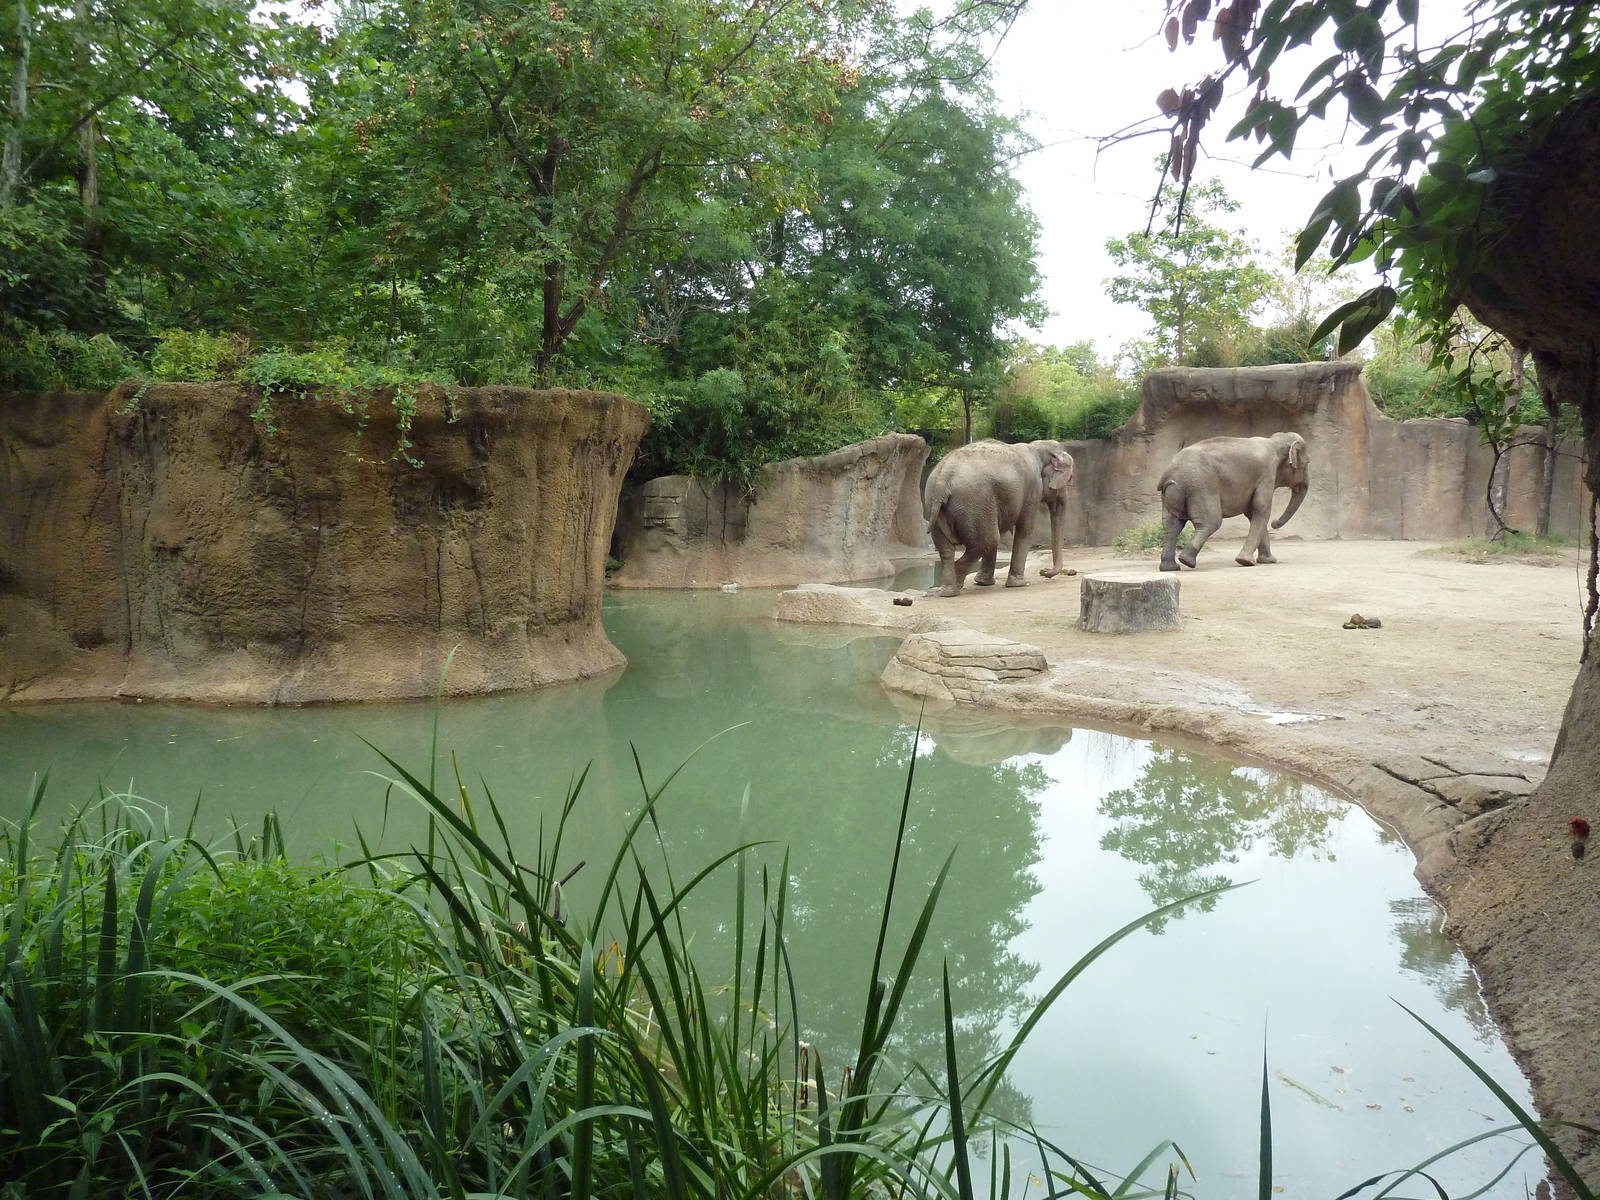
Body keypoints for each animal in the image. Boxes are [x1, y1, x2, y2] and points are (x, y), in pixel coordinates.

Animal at [923, 439, 1075, 597]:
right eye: (1069, 478)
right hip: (974, 502)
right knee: (989, 540)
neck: (1037, 447)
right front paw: (1019, 584)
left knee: (947, 549)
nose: (1044, 571)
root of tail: (943, 478)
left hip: (935, 504)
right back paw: (957, 583)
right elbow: (1025, 528)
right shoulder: (1033, 489)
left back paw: (948, 592)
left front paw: (983, 583)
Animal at [1157, 431, 1309, 570]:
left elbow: (1252, 512)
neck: (1274, 441)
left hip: (1173, 494)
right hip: (1201, 488)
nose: (1275, 523)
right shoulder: (1266, 473)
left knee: (1172, 526)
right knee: (1211, 522)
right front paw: (1246, 562)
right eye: (1307, 463)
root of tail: (1170, 474)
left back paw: (1170, 567)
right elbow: (1261, 508)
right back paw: (1187, 561)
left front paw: (1268, 561)